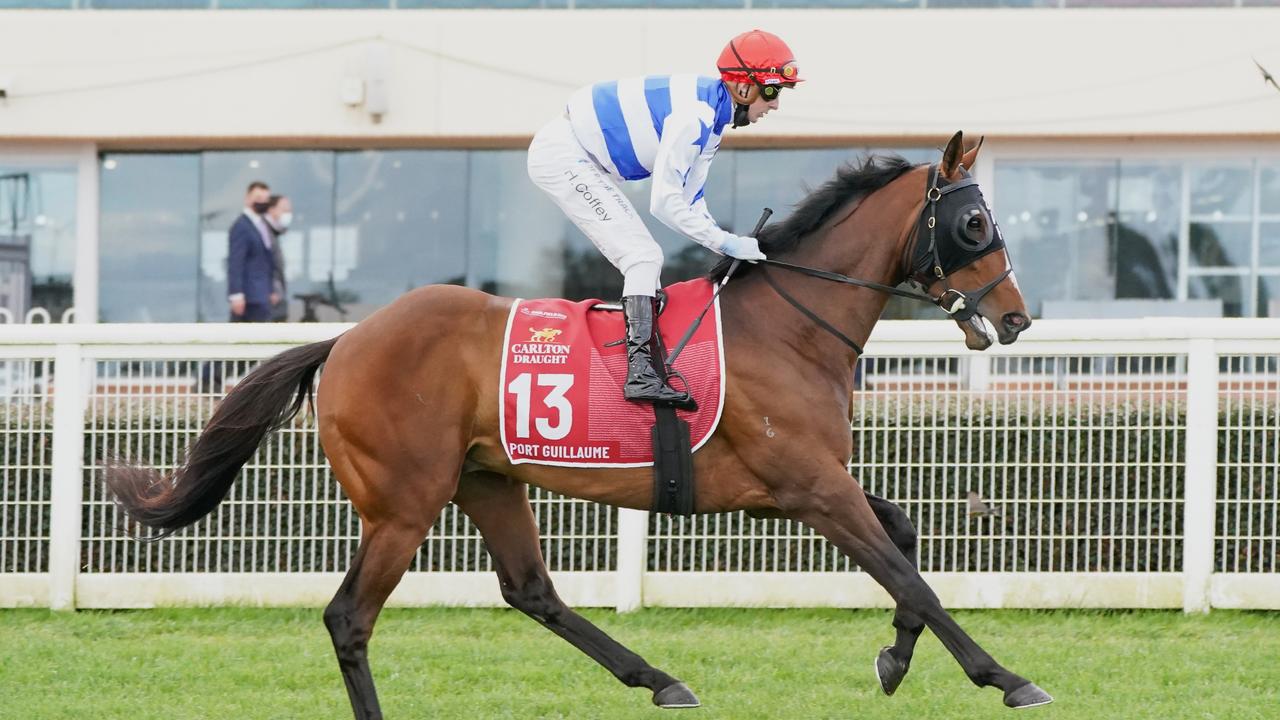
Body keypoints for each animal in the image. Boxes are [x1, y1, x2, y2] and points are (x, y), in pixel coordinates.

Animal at [107, 131, 1049, 712]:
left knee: (532, 590)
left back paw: (658, 679)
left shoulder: (796, 487)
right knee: (349, 618)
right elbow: (908, 574)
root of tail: (344, 340)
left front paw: (893, 660)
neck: (788, 327)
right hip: (404, 504)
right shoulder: (810, 487)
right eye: (975, 222)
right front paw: (1004, 676)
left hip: (487, 480)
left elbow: (906, 544)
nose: (1017, 318)